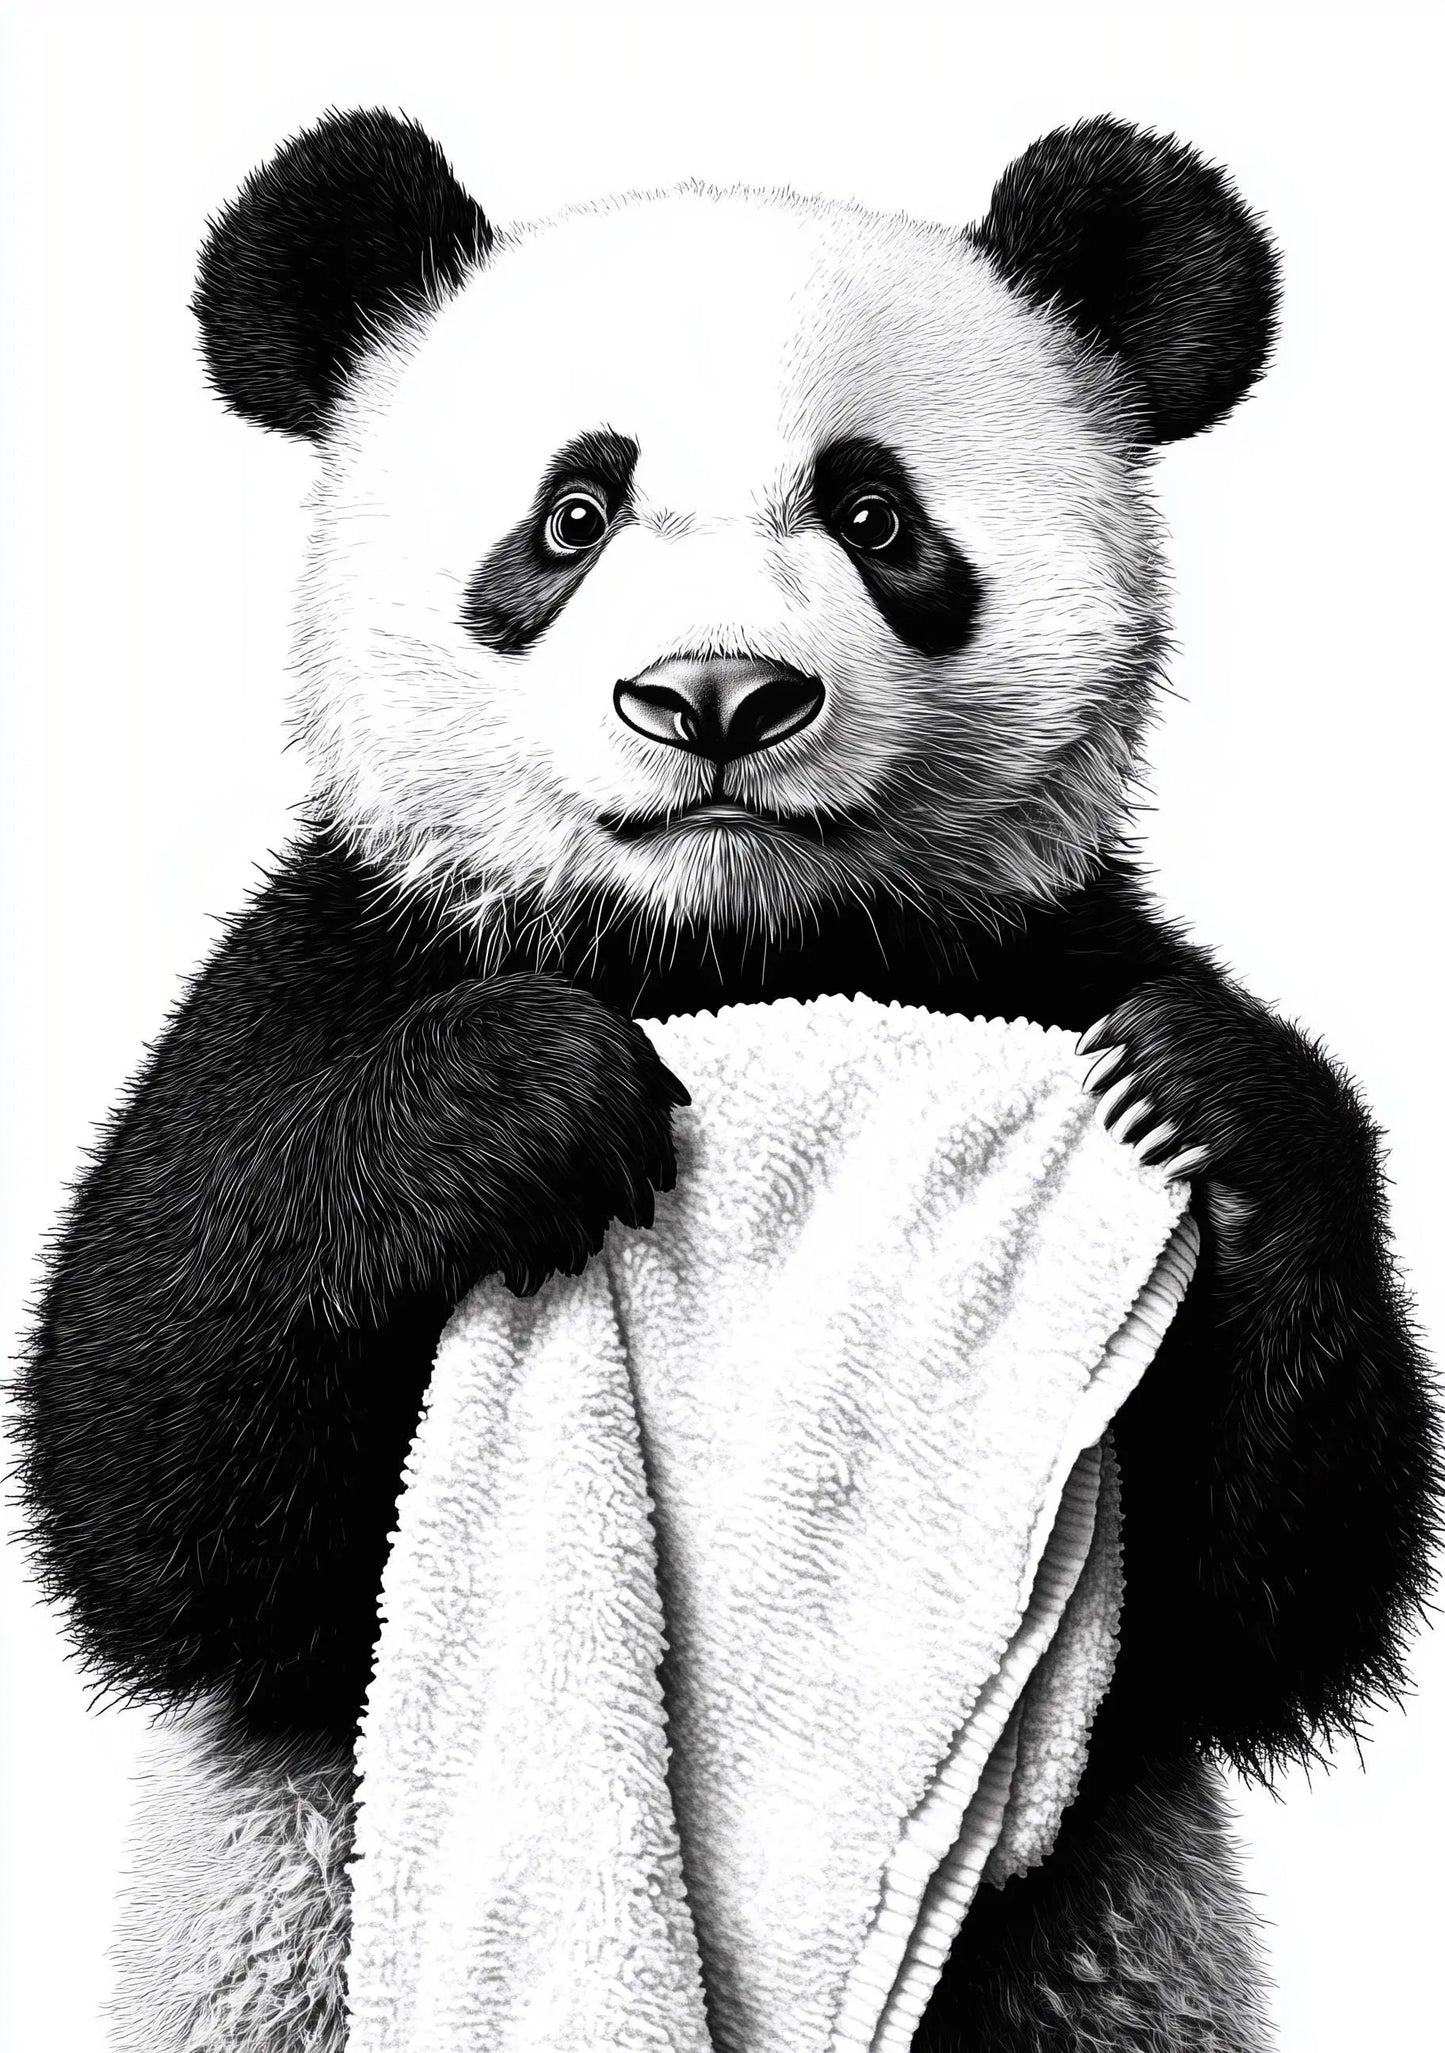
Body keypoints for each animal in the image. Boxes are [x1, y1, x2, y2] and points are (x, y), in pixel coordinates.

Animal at [16, 107, 1439, 2051]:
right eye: (574, 513)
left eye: (874, 513)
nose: (714, 696)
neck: (727, 944)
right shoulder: (326, 962)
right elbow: (161, 1488)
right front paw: (520, 1099)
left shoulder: (1048, 948)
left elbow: (1253, 1605)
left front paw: (1212, 1098)